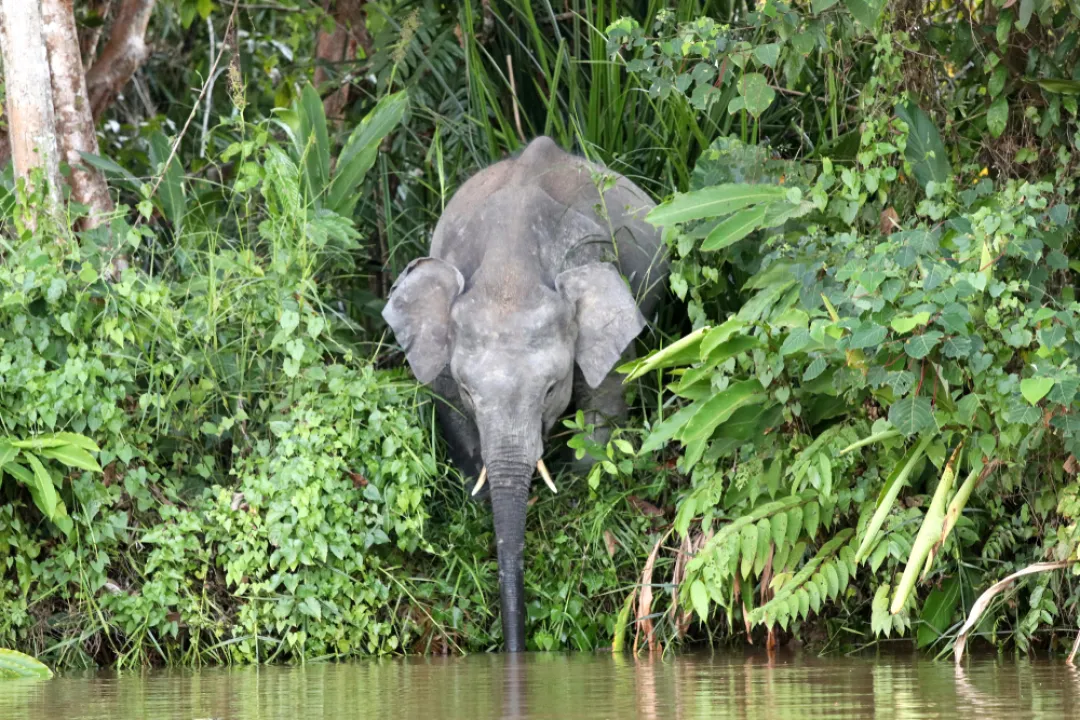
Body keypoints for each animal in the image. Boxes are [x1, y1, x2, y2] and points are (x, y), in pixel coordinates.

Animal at [380, 134, 665, 651]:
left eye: (551, 388)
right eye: (469, 390)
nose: (515, 648)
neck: (511, 268)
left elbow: (606, 402)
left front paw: (574, 496)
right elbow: (449, 412)